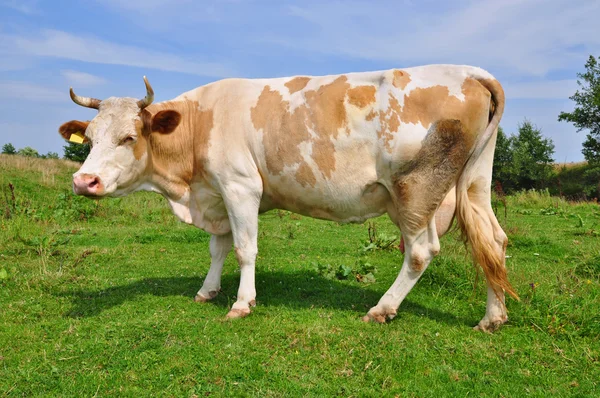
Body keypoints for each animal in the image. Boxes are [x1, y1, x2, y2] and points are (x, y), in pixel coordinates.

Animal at [62, 65, 520, 332]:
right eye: (91, 138)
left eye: (129, 137)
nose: (84, 181)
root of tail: (468, 71)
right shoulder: (218, 193)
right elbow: (217, 248)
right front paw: (207, 291)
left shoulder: (240, 186)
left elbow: (244, 249)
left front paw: (241, 303)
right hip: (474, 183)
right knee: (493, 241)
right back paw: (492, 317)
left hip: (416, 190)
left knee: (421, 251)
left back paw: (382, 308)